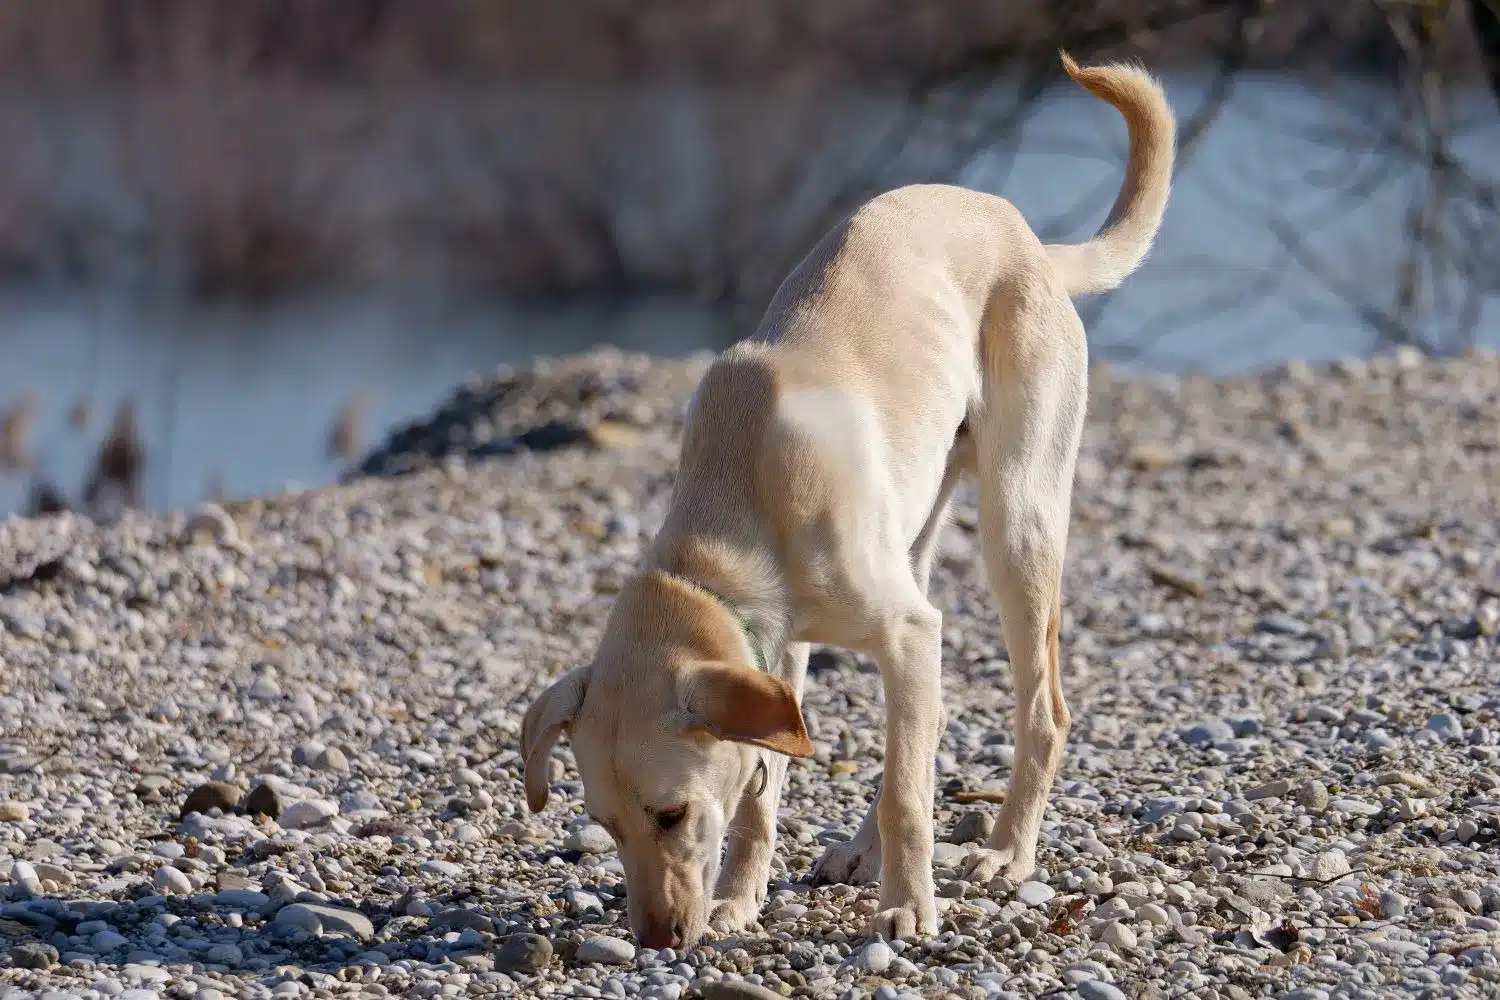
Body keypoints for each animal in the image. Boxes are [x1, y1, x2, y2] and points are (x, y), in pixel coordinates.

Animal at [522, 52, 1176, 947]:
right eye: (607, 826)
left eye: (671, 814)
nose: (656, 941)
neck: (735, 504)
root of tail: (1025, 234)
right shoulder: (785, 653)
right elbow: (767, 795)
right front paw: (740, 900)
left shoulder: (900, 629)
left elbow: (904, 793)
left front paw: (906, 908)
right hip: (919, 543)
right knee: (920, 730)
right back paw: (867, 853)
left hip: (1018, 526)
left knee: (1039, 713)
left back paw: (1005, 853)